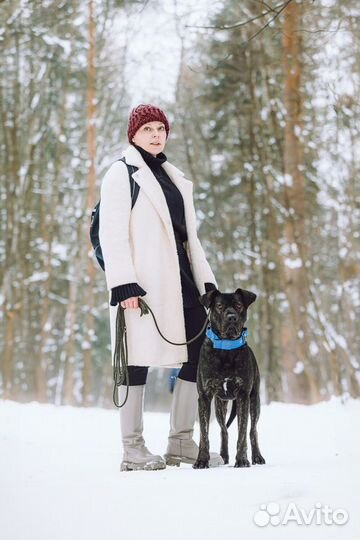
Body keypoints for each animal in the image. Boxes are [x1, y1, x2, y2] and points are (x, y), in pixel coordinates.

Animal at [193, 286, 266, 468]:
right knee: (223, 430)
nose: (231, 316)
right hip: (220, 404)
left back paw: (257, 457)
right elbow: (204, 434)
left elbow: (242, 433)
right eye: (219, 306)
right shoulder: (204, 397)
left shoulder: (243, 396)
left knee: (252, 430)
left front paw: (242, 460)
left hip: (254, 401)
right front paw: (202, 460)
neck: (225, 347)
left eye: (239, 305)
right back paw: (223, 456)